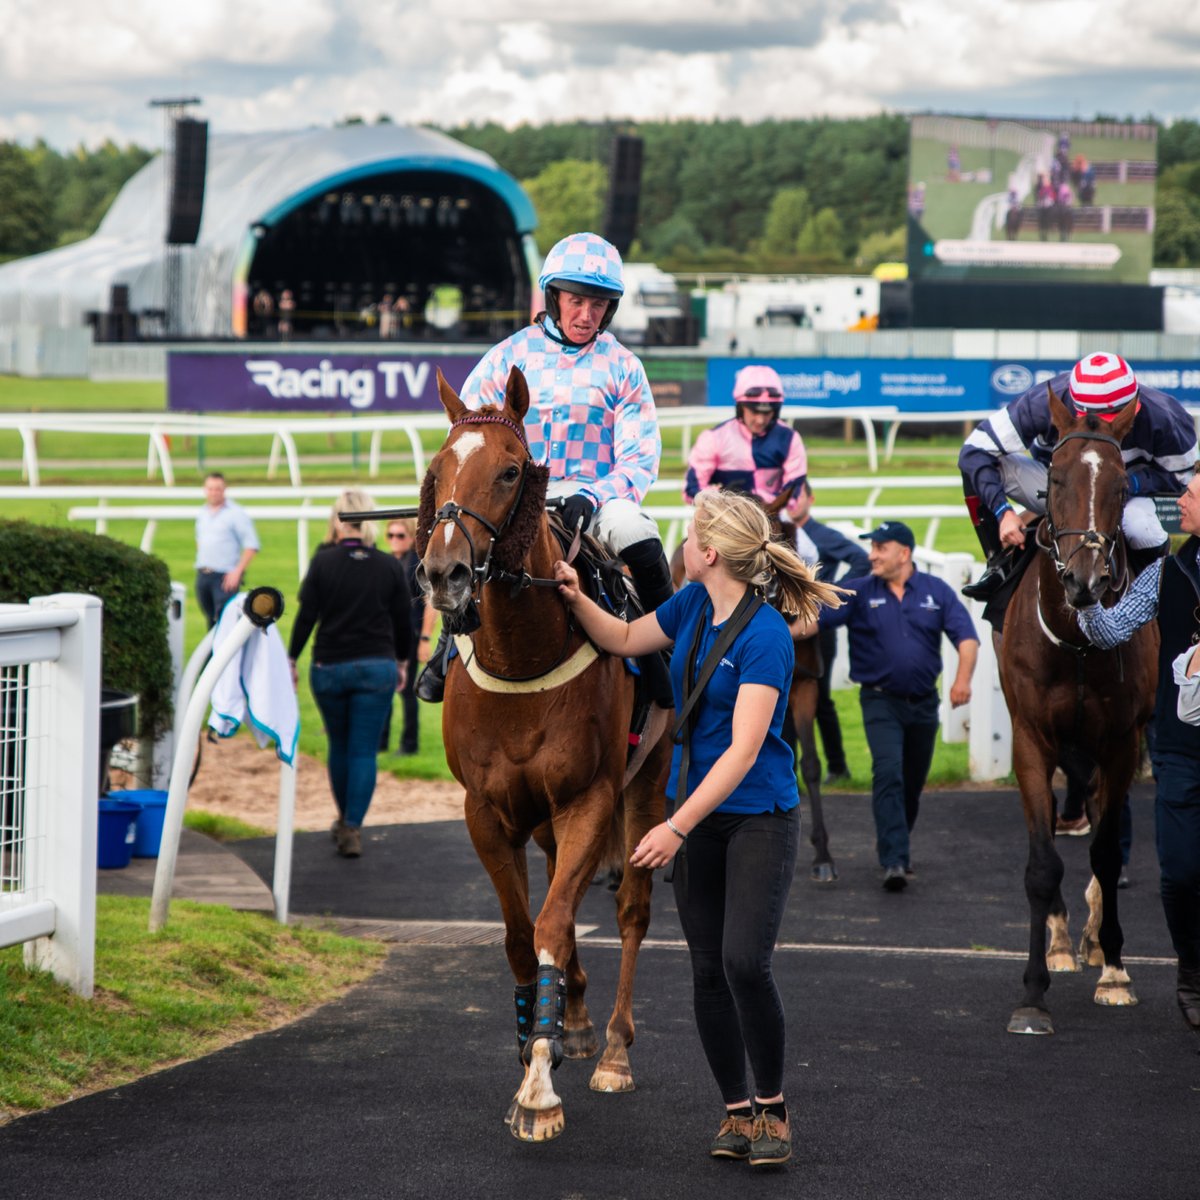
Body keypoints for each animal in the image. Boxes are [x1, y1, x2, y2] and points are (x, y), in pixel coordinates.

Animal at [417, 369, 672, 1137]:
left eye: (509, 470)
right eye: (437, 468)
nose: (444, 573)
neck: (524, 658)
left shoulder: (590, 797)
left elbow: (555, 922)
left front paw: (539, 1081)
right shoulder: (486, 811)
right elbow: (518, 933)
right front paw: (542, 1028)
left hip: (648, 777)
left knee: (631, 909)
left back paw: (612, 1048)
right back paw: (579, 1021)